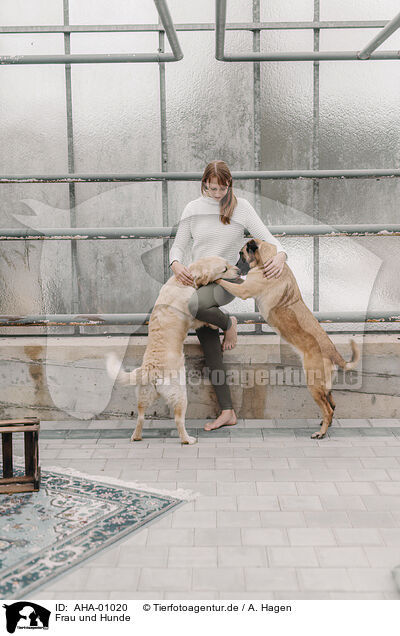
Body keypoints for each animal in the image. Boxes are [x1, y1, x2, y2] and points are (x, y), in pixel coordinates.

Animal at [105, 256, 238, 444]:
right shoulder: (193, 314)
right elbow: (202, 320)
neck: (183, 280)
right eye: (224, 269)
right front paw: (215, 324)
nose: (239, 271)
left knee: (140, 417)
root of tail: (150, 370)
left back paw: (136, 436)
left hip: (143, 395)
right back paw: (188, 439)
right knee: (178, 420)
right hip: (180, 394)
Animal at [217, 238, 360, 438]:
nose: (237, 268)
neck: (266, 261)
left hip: (313, 384)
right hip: (324, 385)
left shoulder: (243, 290)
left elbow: (224, 282)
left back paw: (321, 433)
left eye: (241, 254)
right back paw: (326, 425)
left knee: (328, 409)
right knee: (332, 404)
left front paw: (212, 276)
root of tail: (333, 352)